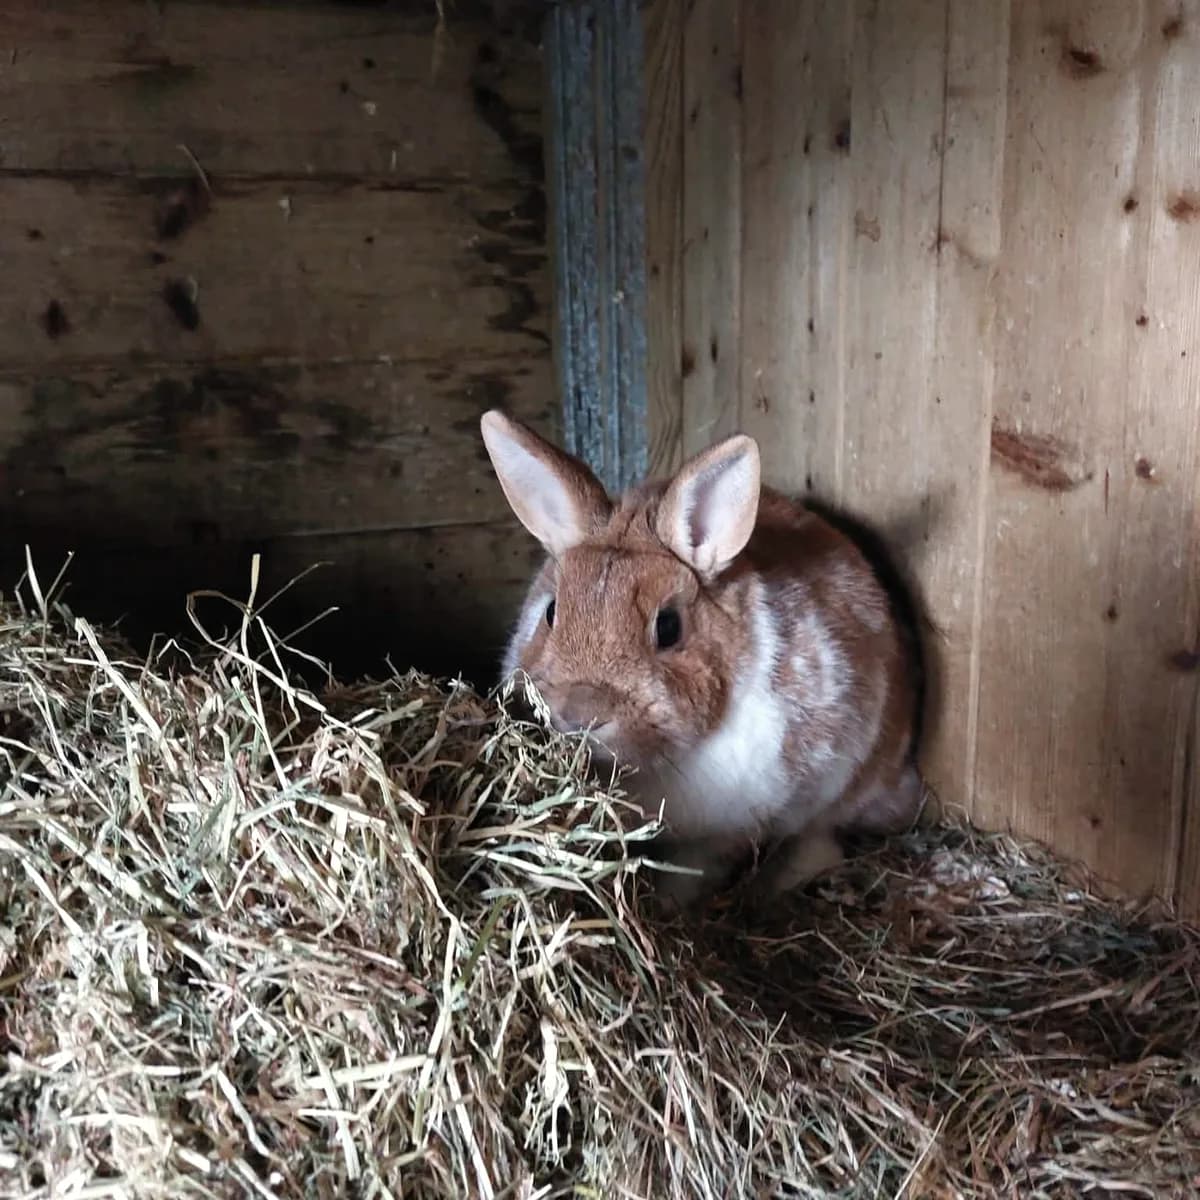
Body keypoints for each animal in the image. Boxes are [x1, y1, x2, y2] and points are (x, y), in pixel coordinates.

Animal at [479, 408, 926, 909]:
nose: (578, 714)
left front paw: (667, 904)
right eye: (552, 612)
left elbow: (695, 871)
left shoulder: (732, 830)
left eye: (669, 627)